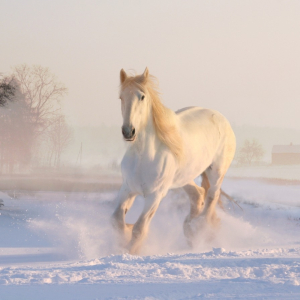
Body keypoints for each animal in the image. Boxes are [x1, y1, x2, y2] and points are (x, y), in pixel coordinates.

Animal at [111, 68, 236, 253]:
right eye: (121, 97)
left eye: (142, 96)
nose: (128, 131)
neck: (143, 156)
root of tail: (221, 118)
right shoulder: (127, 189)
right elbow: (117, 221)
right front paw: (124, 237)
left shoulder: (155, 195)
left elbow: (139, 228)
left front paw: (130, 251)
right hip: (184, 177)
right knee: (198, 194)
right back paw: (190, 229)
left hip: (216, 172)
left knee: (212, 196)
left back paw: (200, 229)